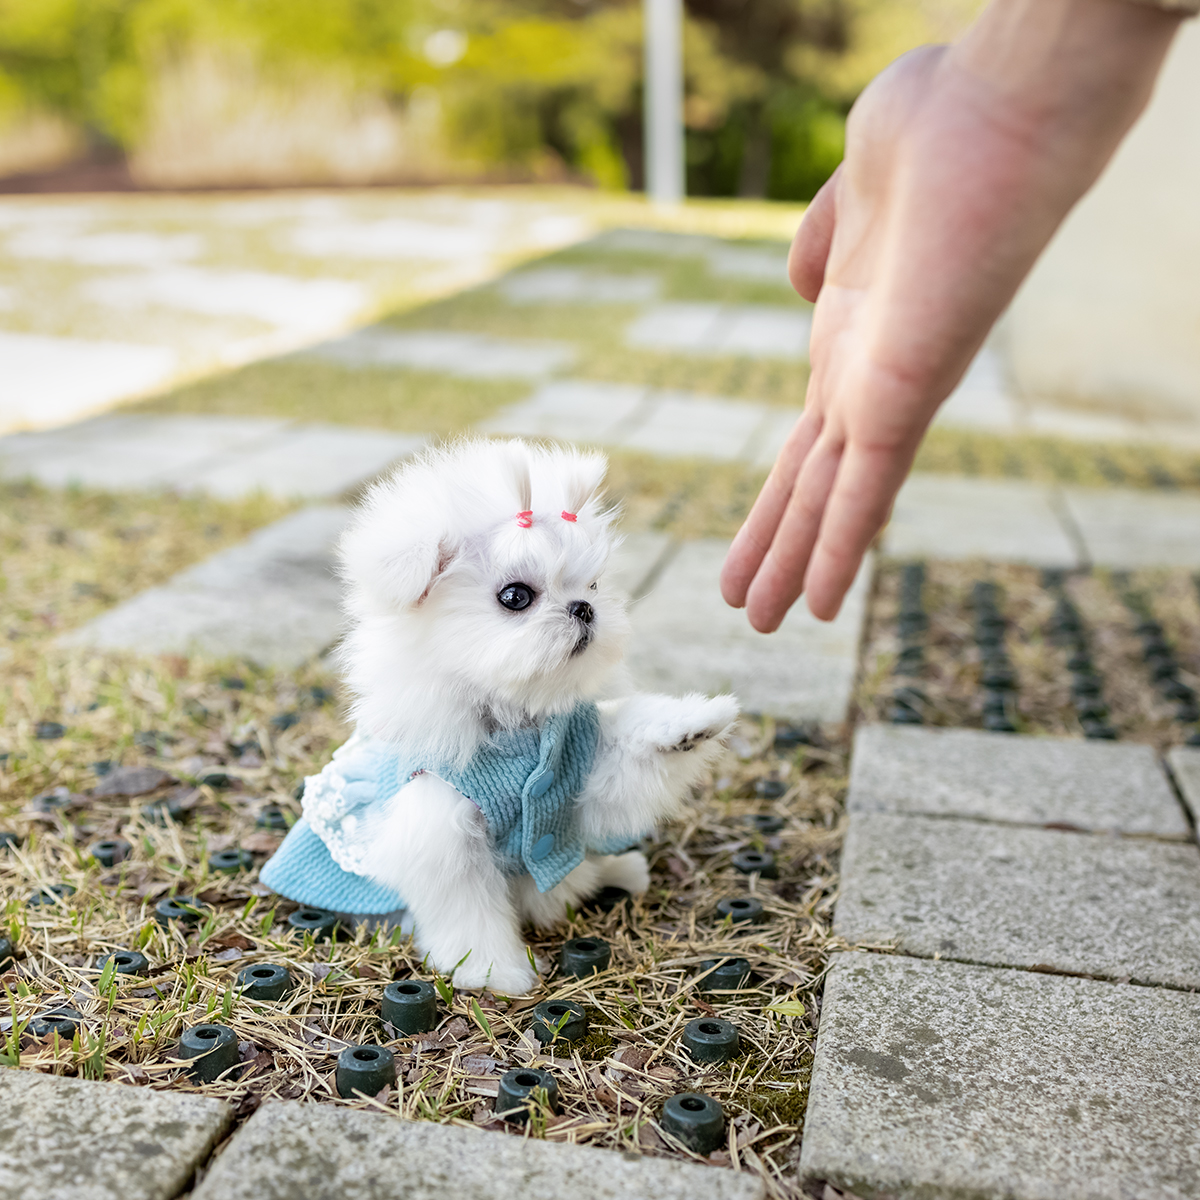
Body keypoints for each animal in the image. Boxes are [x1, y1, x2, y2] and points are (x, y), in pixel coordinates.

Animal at [260, 436, 739, 988]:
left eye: (593, 586)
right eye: (515, 597)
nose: (584, 608)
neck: (515, 721)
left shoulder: (578, 777)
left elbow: (628, 751)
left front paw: (692, 725)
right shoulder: (444, 838)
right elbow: (471, 916)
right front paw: (496, 973)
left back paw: (619, 872)